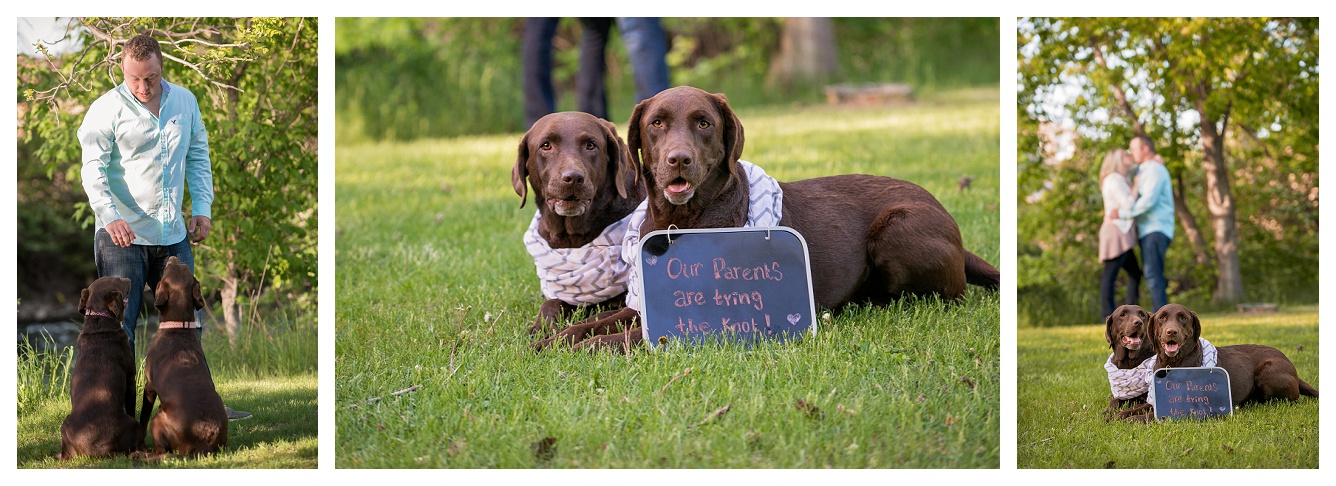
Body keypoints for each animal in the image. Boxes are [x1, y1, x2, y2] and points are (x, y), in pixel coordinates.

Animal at [58, 277, 144, 459]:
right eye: (118, 280)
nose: (129, 279)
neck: (99, 319)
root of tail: (98, 450)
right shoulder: (131, 379)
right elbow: (132, 406)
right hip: (132, 424)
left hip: (64, 426)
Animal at [138, 256, 227, 456]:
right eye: (182, 266)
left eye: (168, 268)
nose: (172, 257)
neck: (178, 325)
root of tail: (204, 442)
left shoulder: (149, 386)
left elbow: (143, 416)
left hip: (158, 419)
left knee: (161, 452)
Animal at [513, 112, 643, 336]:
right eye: (546, 145)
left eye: (590, 145)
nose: (573, 177)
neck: (572, 238)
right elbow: (549, 304)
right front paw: (540, 328)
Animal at [1116, 304, 1314, 421]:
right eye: (1162, 318)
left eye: (1183, 317)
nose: (1171, 332)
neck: (1172, 364)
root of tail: (1292, 366)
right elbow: (1131, 410)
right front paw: (1113, 417)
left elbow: (1144, 416)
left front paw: (1127, 421)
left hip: (1267, 370)